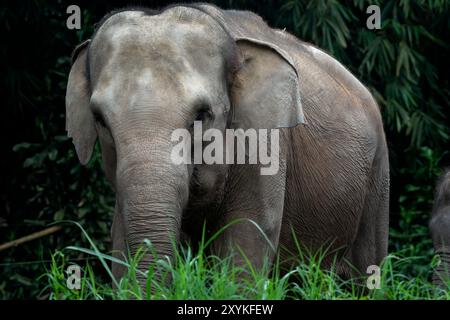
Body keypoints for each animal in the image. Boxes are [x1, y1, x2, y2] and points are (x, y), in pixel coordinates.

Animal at [64, 3, 390, 286]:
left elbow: (247, 238)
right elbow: (120, 241)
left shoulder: (264, 139)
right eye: (100, 119)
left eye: (201, 114)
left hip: (378, 175)